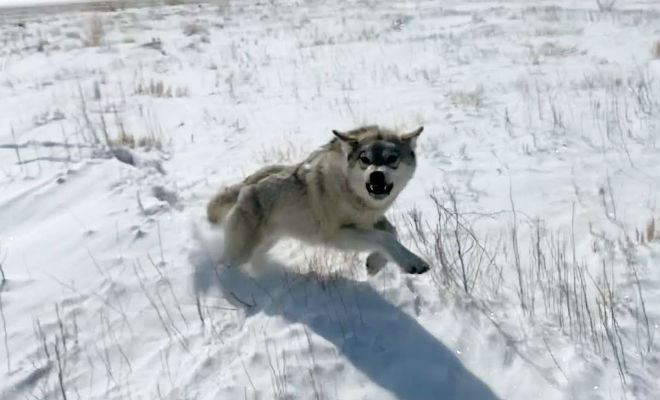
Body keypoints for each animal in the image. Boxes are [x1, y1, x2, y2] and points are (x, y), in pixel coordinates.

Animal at [209, 125, 430, 276]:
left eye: (392, 158)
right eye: (364, 159)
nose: (376, 176)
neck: (351, 193)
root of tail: (246, 186)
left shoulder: (370, 222)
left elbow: (392, 232)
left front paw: (374, 264)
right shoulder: (337, 235)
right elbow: (383, 238)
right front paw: (414, 263)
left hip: (268, 241)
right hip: (241, 252)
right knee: (221, 266)